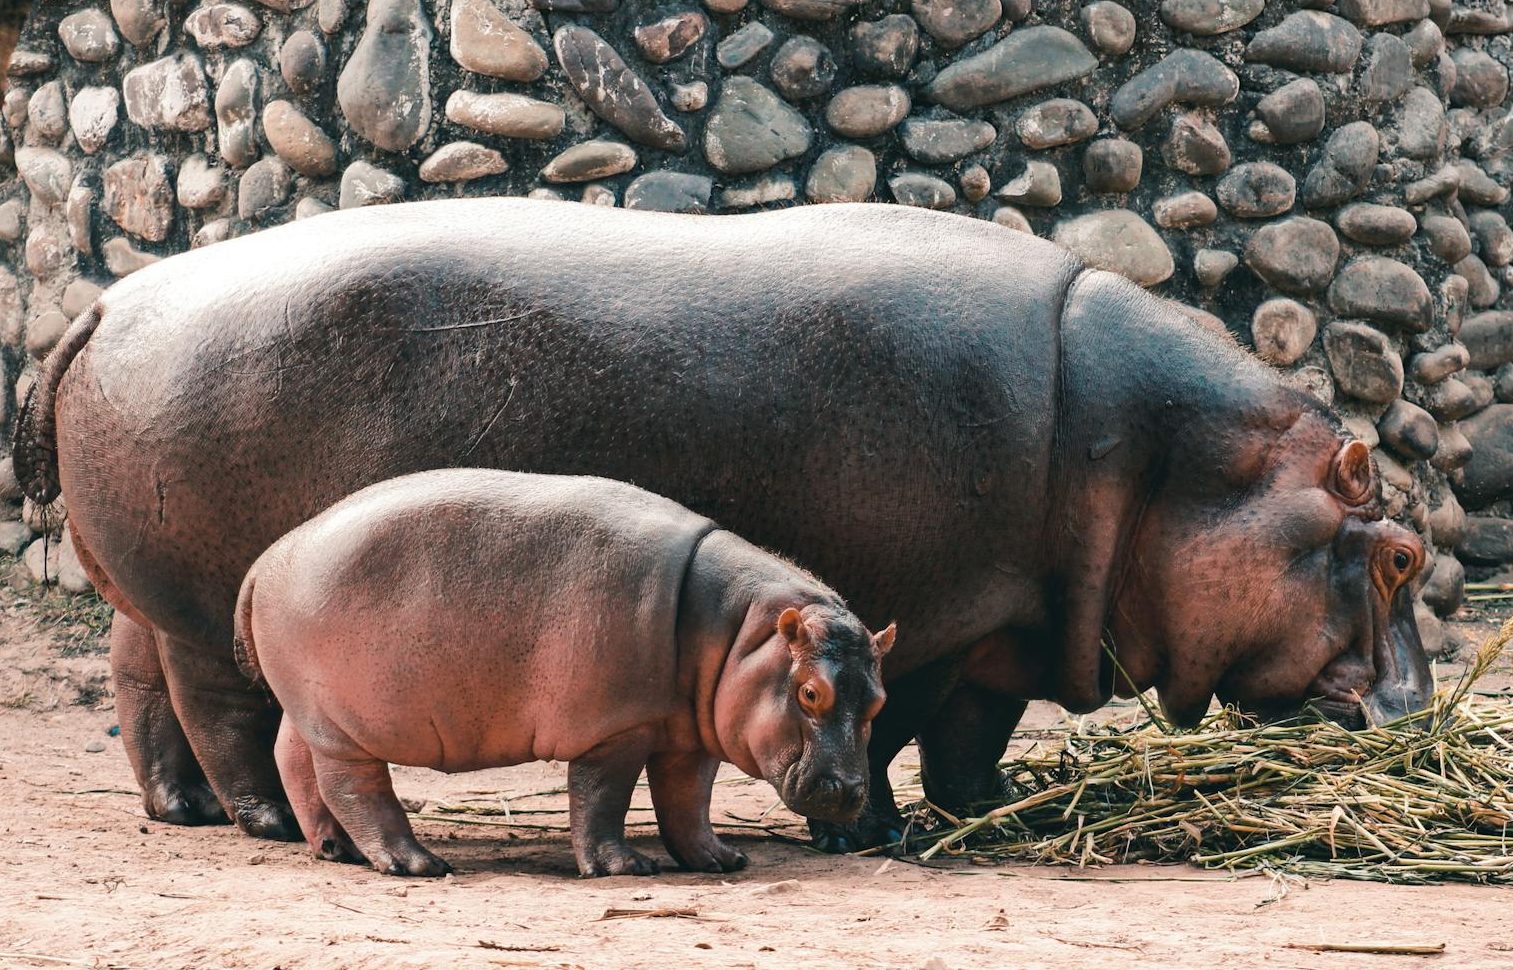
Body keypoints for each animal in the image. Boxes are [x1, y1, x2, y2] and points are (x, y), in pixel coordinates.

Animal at [233, 468, 892, 877]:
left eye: (879, 700)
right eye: (810, 692)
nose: (849, 792)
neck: (742, 632)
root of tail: (267, 559)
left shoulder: (691, 732)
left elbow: (687, 800)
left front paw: (720, 859)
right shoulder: (616, 728)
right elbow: (602, 798)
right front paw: (624, 867)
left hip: (309, 709)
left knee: (293, 756)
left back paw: (334, 849)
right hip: (346, 724)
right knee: (354, 787)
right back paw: (414, 864)